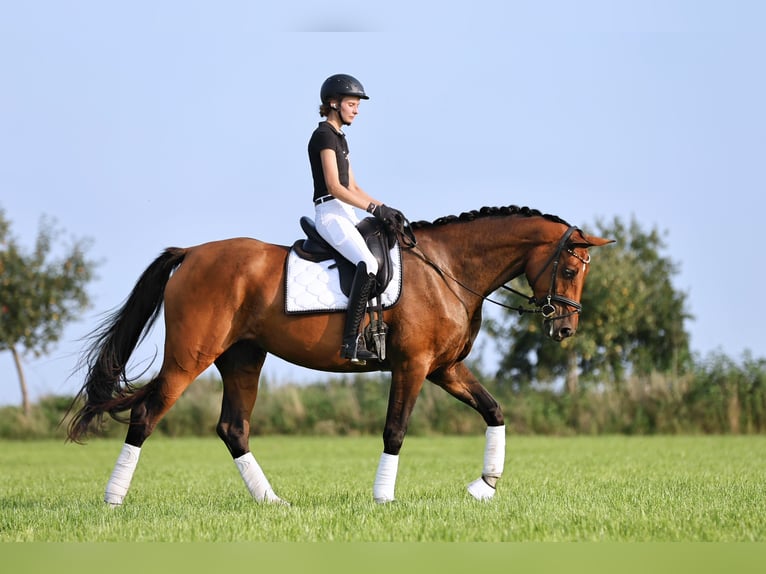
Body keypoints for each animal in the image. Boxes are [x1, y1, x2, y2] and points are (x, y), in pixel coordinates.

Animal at [67, 205, 612, 506]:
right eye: (569, 269)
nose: (565, 328)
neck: (447, 269)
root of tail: (192, 253)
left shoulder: (445, 368)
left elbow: (494, 410)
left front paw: (485, 486)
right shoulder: (414, 366)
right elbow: (396, 429)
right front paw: (384, 498)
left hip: (243, 359)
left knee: (233, 428)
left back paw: (272, 502)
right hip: (189, 359)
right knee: (146, 415)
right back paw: (113, 501)